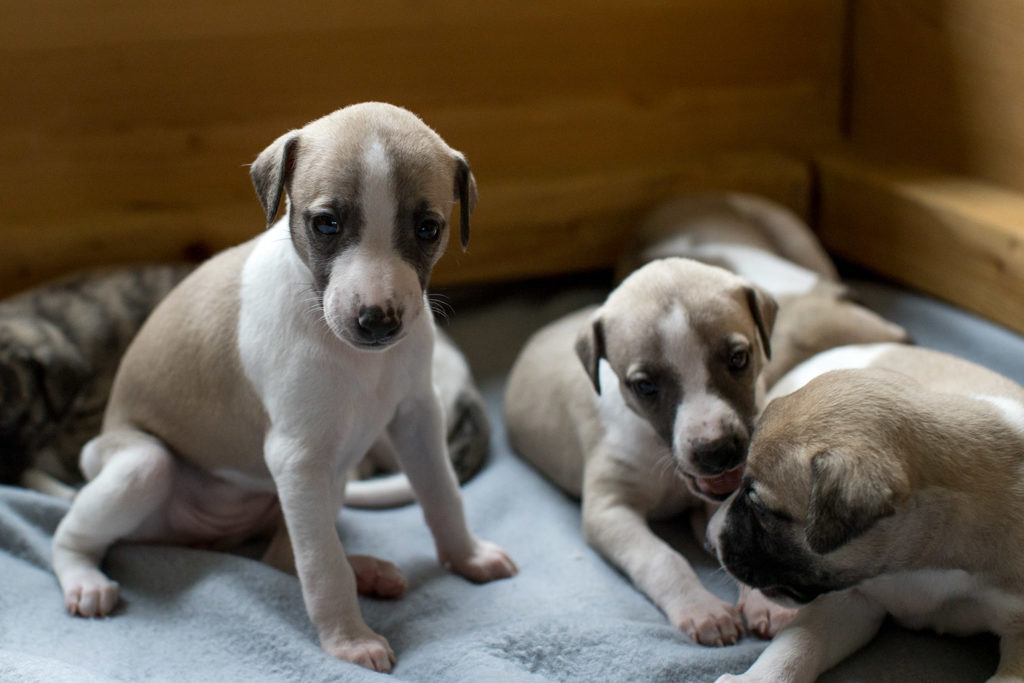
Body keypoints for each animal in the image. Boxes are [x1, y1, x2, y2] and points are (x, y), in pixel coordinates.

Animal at [48, 104, 516, 675]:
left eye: (428, 228)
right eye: (326, 223)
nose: (377, 321)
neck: (356, 358)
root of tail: (208, 536)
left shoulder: (417, 417)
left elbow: (443, 493)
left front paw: (468, 556)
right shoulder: (298, 459)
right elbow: (323, 567)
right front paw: (349, 641)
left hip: (328, 480)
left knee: (280, 553)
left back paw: (368, 571)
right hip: (144, 466)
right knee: (72, 532)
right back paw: (84, 581)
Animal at [505, 258, 782, 647]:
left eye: (739, 358)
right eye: (644, 386)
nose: (717, 451)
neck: (661, 453)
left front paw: (765, 602)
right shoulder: (609, 509)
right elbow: (662, 559)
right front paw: (702, 609)